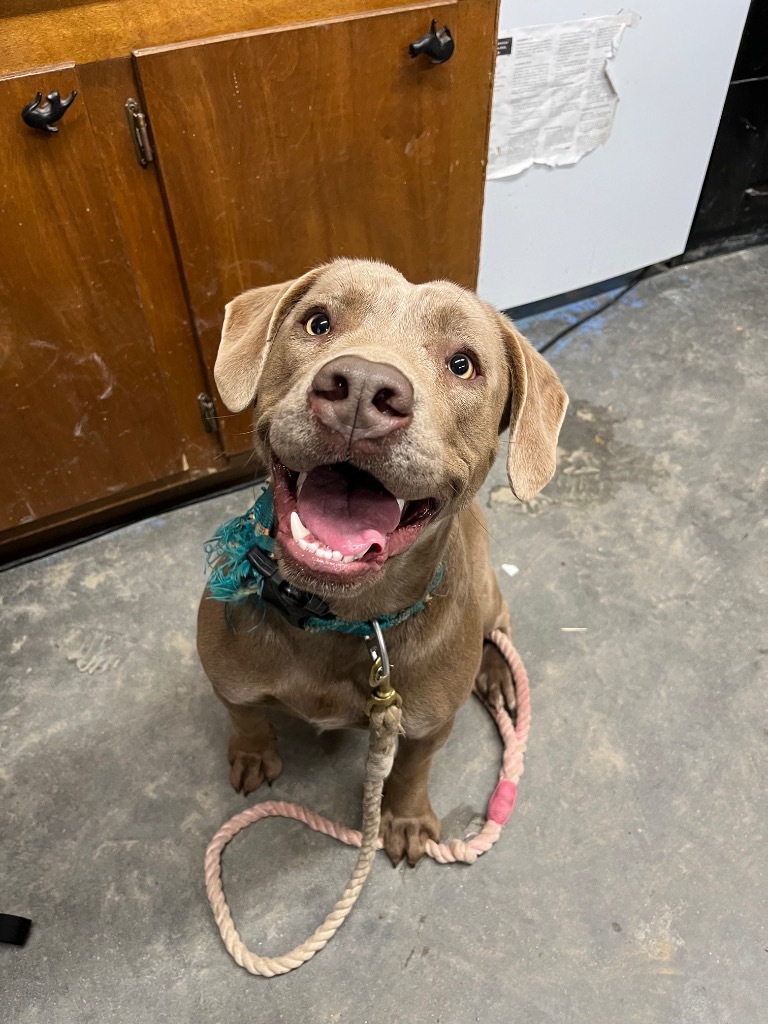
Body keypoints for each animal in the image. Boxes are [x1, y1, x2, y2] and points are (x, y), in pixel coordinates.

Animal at [198, 258, 573, 864]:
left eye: (463, 364)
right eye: (318, 322)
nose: (362, 386)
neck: (343, 619)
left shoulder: (427, 724)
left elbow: (412, 767)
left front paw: (406, 817)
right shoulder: (227, 677)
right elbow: (244, 712)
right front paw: (254, 751)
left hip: (490, 595)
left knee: (498, 630)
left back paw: (496, 673)